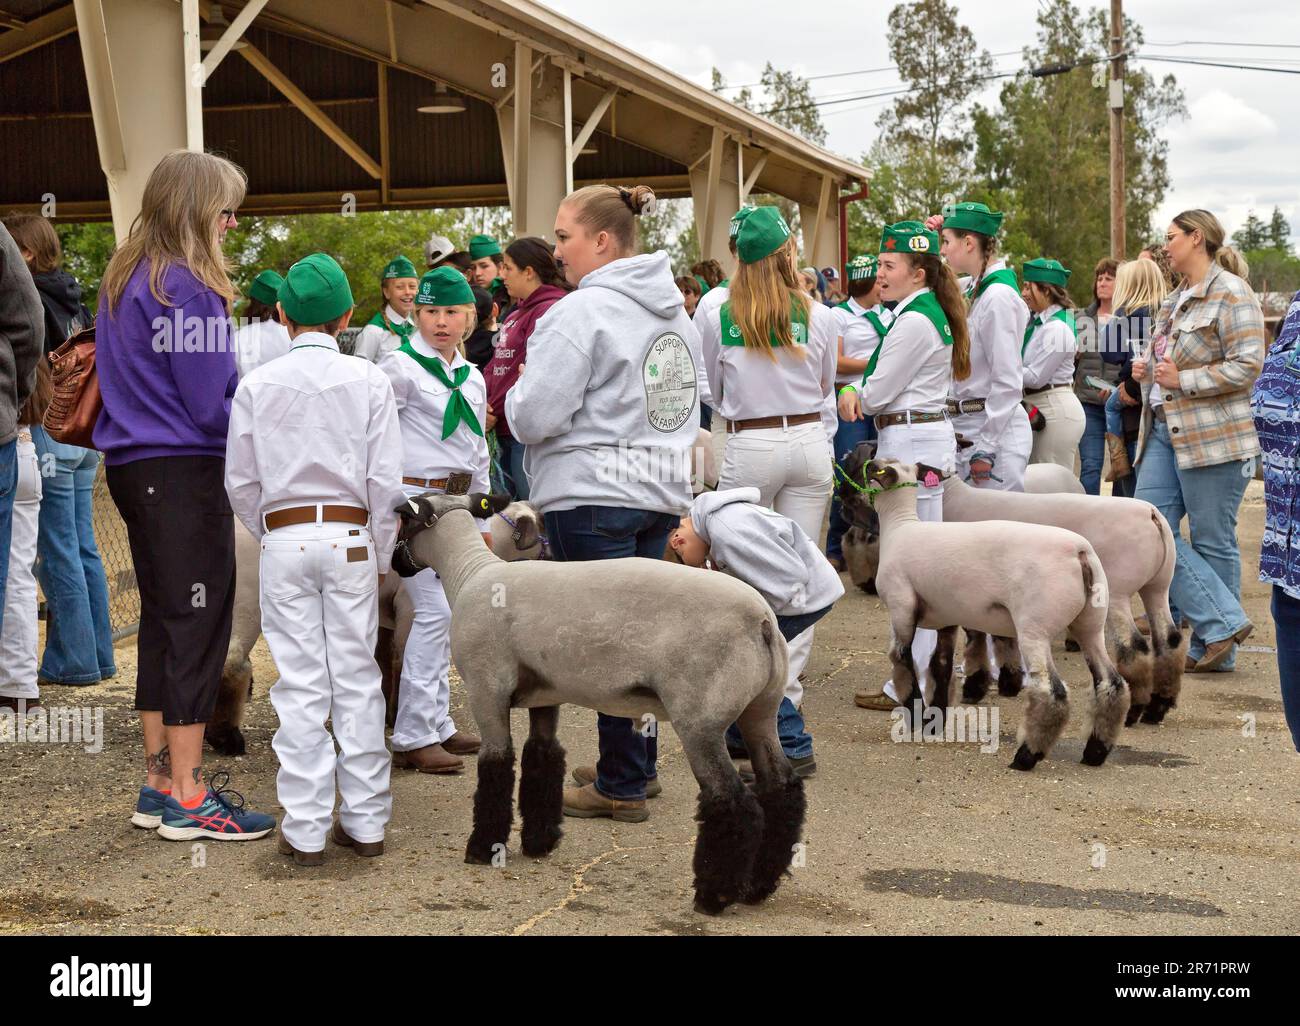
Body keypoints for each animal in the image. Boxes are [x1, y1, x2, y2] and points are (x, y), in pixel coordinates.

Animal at [208, 501, 543, 754]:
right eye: (540, 528)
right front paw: (398, 717)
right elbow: (402, 659)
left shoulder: (384, 614)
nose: (551, 557)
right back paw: (226, 738)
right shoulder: (409, 610)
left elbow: (382, 658)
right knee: (231, 662)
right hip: (245, 602)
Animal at [395, 488, 800, 910]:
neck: (470, 572)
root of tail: (762, 622)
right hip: (760, 710)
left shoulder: (485, 690)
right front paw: (539, 842)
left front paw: (482, 849)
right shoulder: (545, 695)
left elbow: (496, 767)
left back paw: (715, 896)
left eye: (403, 520)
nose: (395, 564)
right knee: (782, 788)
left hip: (700, 718)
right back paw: (758, 886)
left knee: (733, 802)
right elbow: (542, 757)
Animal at [847, 455, 1133, 769]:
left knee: (1053, 692)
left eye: (873, 468)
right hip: (1090, 625)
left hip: (1035, 627)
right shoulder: (947, 618)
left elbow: (901, 660)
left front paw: (914, 713)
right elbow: (940, 666)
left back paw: (1026, 757)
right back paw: (1095, 751)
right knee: (1112, 684)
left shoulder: (901, 607)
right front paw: (934, 722)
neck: (900, 526)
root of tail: (1080, 552)